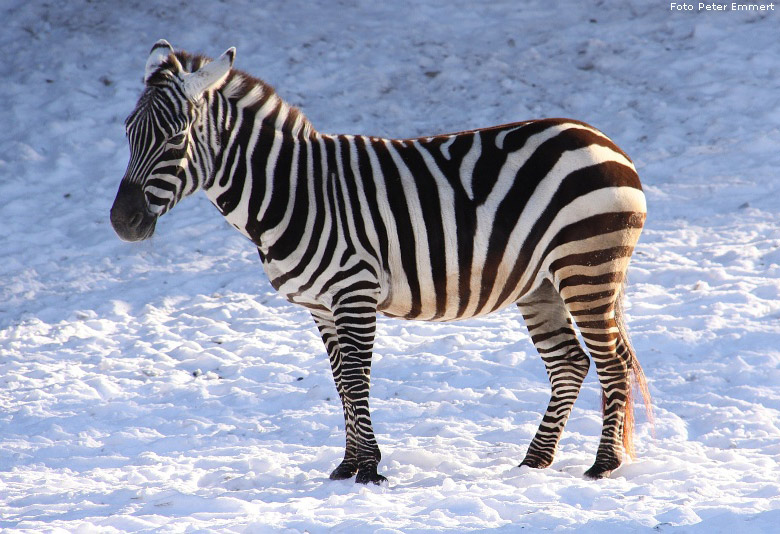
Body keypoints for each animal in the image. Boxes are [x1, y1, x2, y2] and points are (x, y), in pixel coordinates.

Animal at [111, 42, 652, 486]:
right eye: (128, 133)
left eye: (176, 139)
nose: (122, 222)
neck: (292, 191)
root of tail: (601, 137)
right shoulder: (322, 306)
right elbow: (340, 383)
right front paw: (348, 465)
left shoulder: (354, 290)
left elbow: (355, 379)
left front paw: (369, 468)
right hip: (541, 284)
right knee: (571, 362)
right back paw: (534, 461)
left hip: (585, 265)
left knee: (612, 360)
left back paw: (603, 465)